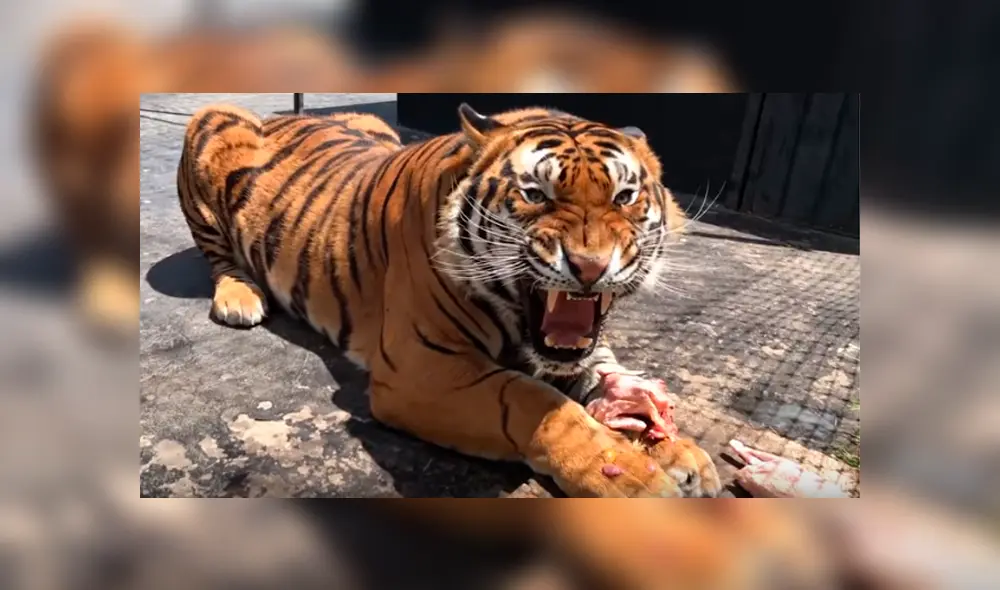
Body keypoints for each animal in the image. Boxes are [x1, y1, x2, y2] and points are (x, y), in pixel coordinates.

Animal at [176, 101, 722, 497]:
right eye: (536, 195)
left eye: (624, 197)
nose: (590, 266)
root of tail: (285, 114)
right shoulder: (422, 367)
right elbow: (537, 403)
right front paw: (635, 481)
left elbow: (604, 376)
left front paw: (679, 452)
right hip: (210, 122)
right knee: (218, 256)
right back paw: (240, 297)